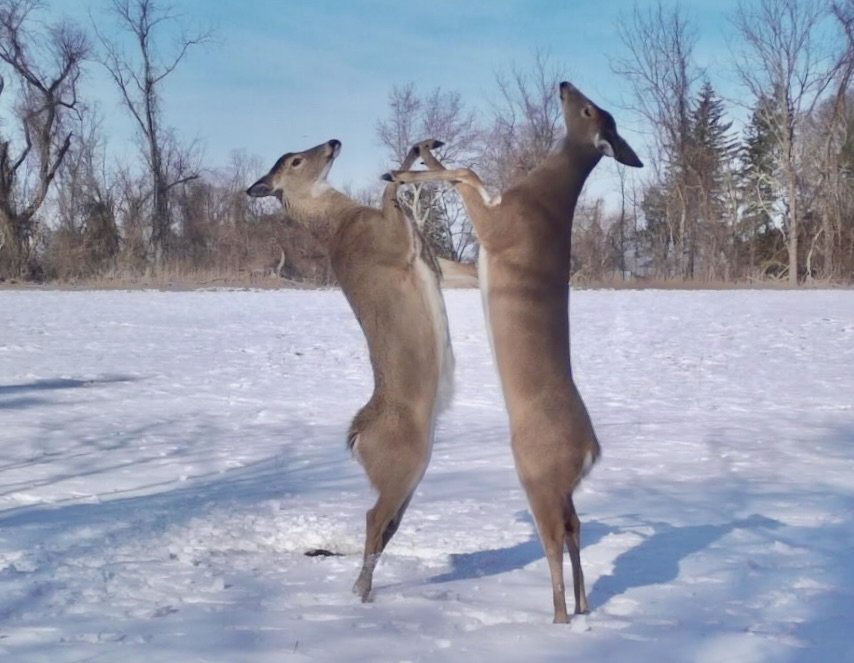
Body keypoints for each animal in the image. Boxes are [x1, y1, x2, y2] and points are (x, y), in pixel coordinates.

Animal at [247, 139, 455, 602]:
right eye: (295, 160)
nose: (332, 142)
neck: (342, 223)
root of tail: (357, 435)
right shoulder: (391, 239)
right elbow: (390, 195)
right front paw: (403, 164)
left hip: (412, 473)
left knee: (385, 525)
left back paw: (364, 585)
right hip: (403, 464)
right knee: (373, 518)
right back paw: (361, 589)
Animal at [384, 82, 643, 623]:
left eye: (587, 108)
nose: (564, 84)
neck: (543, 195)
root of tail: (590, 450)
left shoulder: (497, 227)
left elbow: (465, 174)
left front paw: (404, 170)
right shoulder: (476, 253)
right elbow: (465, 181)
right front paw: (417, 154)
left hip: (536, 474)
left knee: (555, 536)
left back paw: (559, 614)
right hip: (557, 485)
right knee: (576, 526)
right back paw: (581, 605)